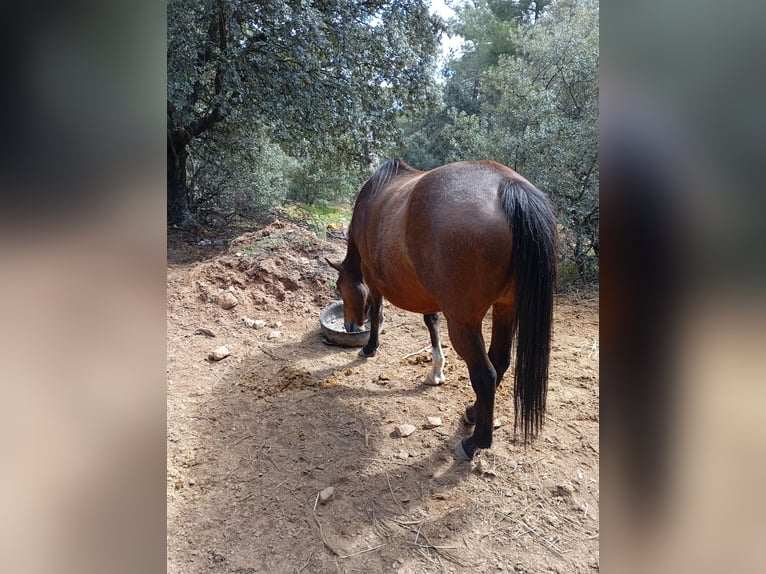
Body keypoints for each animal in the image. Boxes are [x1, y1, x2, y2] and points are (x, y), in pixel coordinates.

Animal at [327, 159, 557, 459]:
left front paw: (370, 347)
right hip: (505, 309)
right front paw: (436, 370)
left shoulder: (372, 277)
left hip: (464, 323)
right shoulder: (430, 296)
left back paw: (475, 442)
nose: (350, 326)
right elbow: (431, 321)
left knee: (485, 375)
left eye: (339, 286)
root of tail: (508, 186)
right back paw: (472, 413)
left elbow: (378, 314)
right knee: (500, 360)